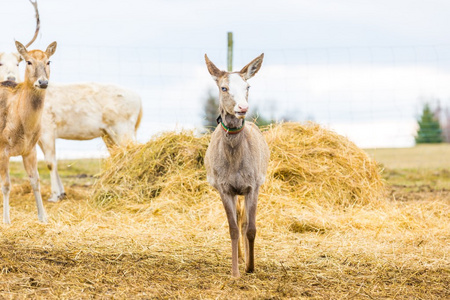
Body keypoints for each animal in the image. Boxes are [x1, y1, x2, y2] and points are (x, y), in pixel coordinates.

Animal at [0, 39, 57, 224]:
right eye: (28, 61)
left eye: (48, 61)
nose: (43, 82)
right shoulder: (3, 149)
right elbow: (6, 185)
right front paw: (7, 220)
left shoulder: (31, 150)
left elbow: (35, 181)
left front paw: (43, 218)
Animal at [205, 53, 270, 276]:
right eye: (224, 88)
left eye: (247, 86)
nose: (242, 108)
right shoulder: (223, 187)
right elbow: (232, 228)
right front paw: (235, 272)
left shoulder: (254, 184)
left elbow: (251, 228)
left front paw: (251, 267)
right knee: (239, 218)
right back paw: (241, 256)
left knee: (244, 220)